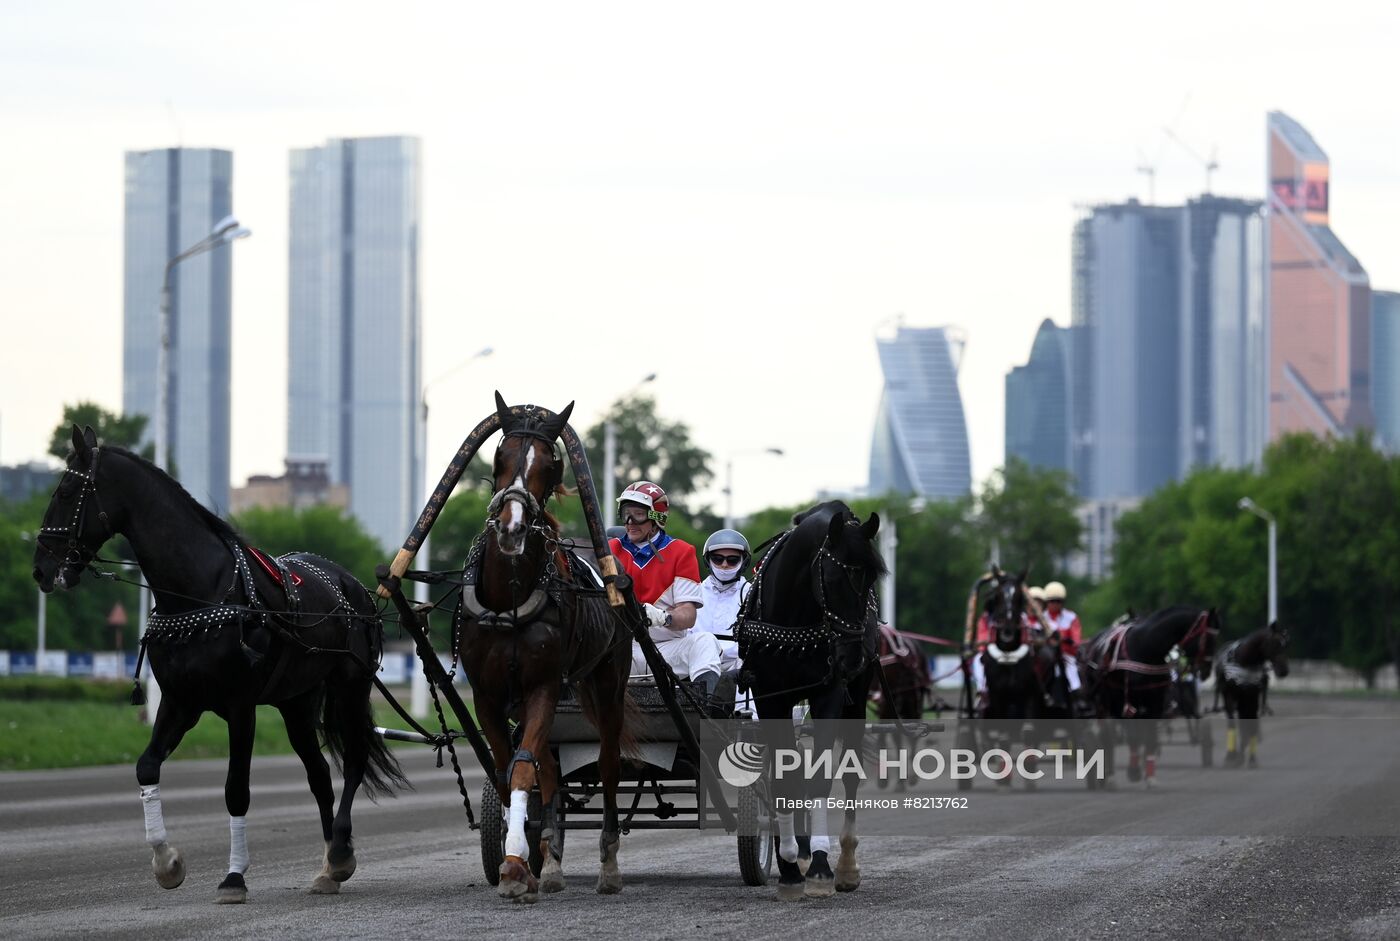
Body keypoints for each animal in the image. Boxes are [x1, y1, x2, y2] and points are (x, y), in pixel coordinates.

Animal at [31, 425, 406, 901]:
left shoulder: (239, 706)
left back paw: (339, 850)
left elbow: (236, 790)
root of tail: (353, 587)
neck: (201, 592)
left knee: (354, 758)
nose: (41, 569)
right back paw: (327, 866)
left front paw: (234, 877)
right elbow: (146, 766)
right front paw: (167, 862)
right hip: (296, 701)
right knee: (319, 773)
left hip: (350, 686)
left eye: (66, 490)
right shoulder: (180, 701)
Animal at [739, 504, 879, 901]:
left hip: (856, 699)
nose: (851, 657)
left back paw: (845, 865)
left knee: (849, 773)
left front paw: (819, 867)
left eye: (872, 579)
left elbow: (819, 778)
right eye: (832, 578)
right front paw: (788, 865)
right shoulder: (770, 696)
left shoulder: (828, 693)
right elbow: (785, 779)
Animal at [1075, 610, 1220, 784]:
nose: (1206, 670)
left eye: (1216, 637)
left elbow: (1150, 735)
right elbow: (1133, 736)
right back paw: (1108, 774)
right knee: (1107, 733)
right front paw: (1134, 770)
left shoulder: (1155, 702)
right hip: (1105, 702)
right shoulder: (1128, 702)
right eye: (1207, 638)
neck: (1145, 648)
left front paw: (1149, 774)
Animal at [1215, 621, 1288, 767]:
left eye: (1286, 645)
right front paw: (1232, 757)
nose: (1284, 671)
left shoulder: (1252, 696)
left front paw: (1251, 759)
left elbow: (1251, 725)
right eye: (1275, 644)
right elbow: (1233, 723)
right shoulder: (1230, 695)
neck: (1243, 661)